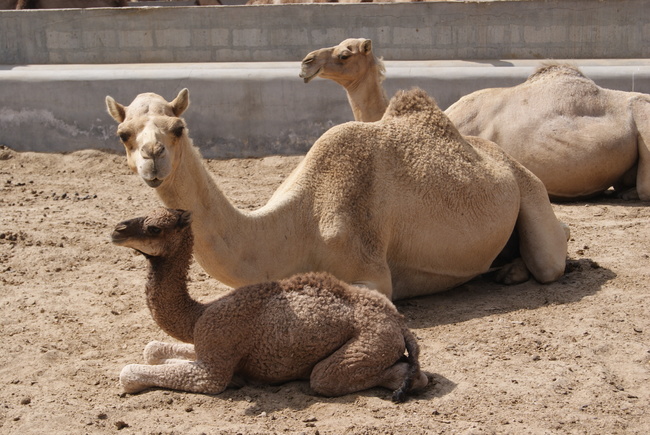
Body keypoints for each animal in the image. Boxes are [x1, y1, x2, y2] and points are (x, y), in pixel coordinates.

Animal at [105, 87, 567, 300]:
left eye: (178, 128)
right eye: (123, 134)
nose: (152, 158)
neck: (296, 224)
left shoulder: (372, 269)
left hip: (528, 187)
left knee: (551, 255)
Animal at [111, 207, 428, 400]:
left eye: (154, 229)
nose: (117, 229)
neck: (199, 314)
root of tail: (399, 323)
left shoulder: (213, 361)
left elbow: (129, 373)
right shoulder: (210, 345)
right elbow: (152, 349)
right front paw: (238, 378)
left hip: (369, 342)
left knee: (327, 377)